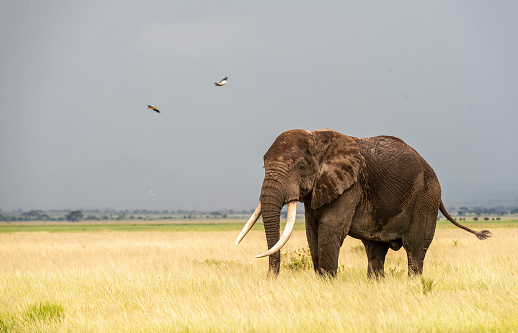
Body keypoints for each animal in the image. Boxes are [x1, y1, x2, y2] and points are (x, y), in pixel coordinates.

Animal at [236, 128, 492, 276]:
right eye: (263, 165)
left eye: (300, 167)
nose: (271, 278)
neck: (319, 137)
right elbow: (312, 231)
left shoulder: (351, 185)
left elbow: (329, 229)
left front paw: (326, 282)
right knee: (375, 251)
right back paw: (376, 282)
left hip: (426, 198)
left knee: (415, 251)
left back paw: (414, 283)